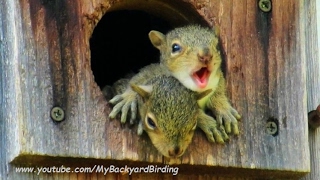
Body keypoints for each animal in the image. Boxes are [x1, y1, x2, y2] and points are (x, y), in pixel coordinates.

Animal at [107, 24, 240, 136]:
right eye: (175, 47)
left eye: (217, 46)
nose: (206, 55)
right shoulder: (153, 74)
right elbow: (137, 80)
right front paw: (209, 124)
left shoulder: (217, 79)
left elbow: (219, 90)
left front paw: (224, 110)